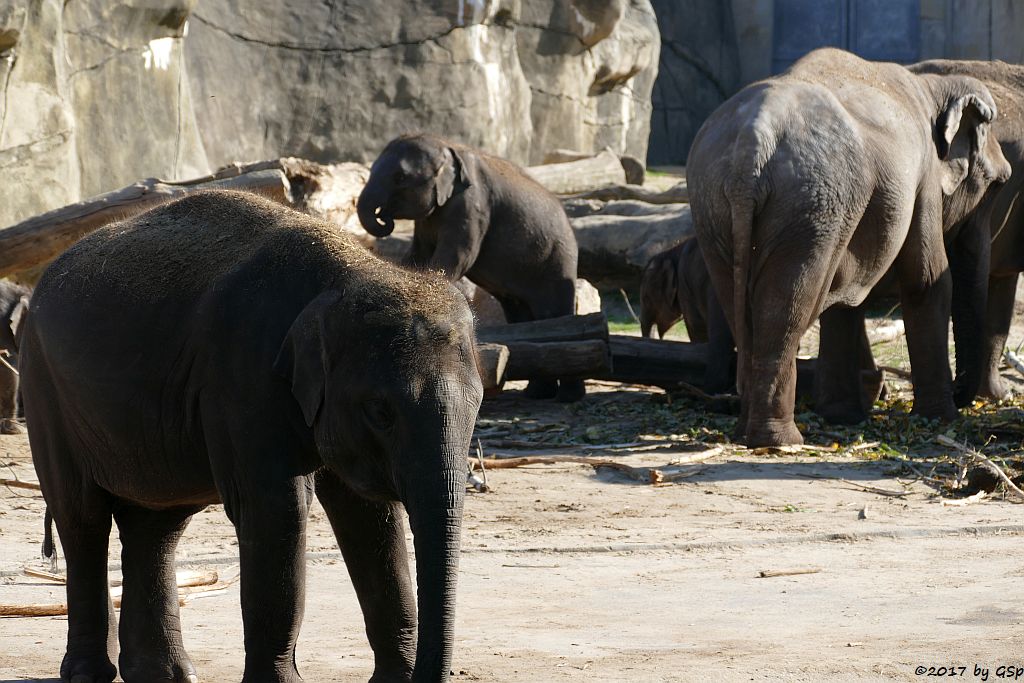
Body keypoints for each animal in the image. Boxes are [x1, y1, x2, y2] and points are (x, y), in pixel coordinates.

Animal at [20, 188, 483, 683]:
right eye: (382, 411)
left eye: (477, 405)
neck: (351, 271)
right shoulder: (242, 379)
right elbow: (277, 511)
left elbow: (369, 519)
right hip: (45, 391)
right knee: (82, 518)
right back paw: (90, 673)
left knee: (155, 526)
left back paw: (166, 675)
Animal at [358, 131, 585, 403]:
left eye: (400, 177)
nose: (384, 216)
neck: (447, 144)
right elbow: (419, 254)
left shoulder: (472, 204)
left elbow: (458, 255)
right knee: (523, 314)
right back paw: (537, 394)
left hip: (556, 261)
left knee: (555, 313)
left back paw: (568, 397)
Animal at [684, 50, 1011, 450]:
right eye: (996, 186)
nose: (964, 400)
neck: (930, 87)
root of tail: (751, 147)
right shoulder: (923, 176)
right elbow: (927, 279)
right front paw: (938, 418)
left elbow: (845, 297)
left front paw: (843, 417)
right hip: (813, 202)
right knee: (789, 306)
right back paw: (781, 441)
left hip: (715, 206)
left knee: (742, 303)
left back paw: (747, 432)